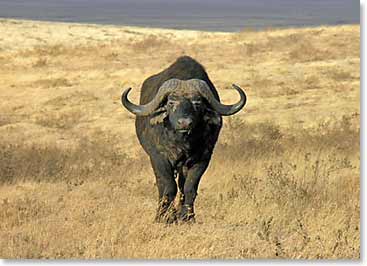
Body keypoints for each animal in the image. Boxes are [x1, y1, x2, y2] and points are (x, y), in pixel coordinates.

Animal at [121, 55, 247, 222]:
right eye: (171, 102)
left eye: (197, 103)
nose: (185, 123)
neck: (182, 142)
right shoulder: (158, 157)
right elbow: (168, 186)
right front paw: (163, 217)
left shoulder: (202, 159)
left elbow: (189, 187)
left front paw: (187, 216)